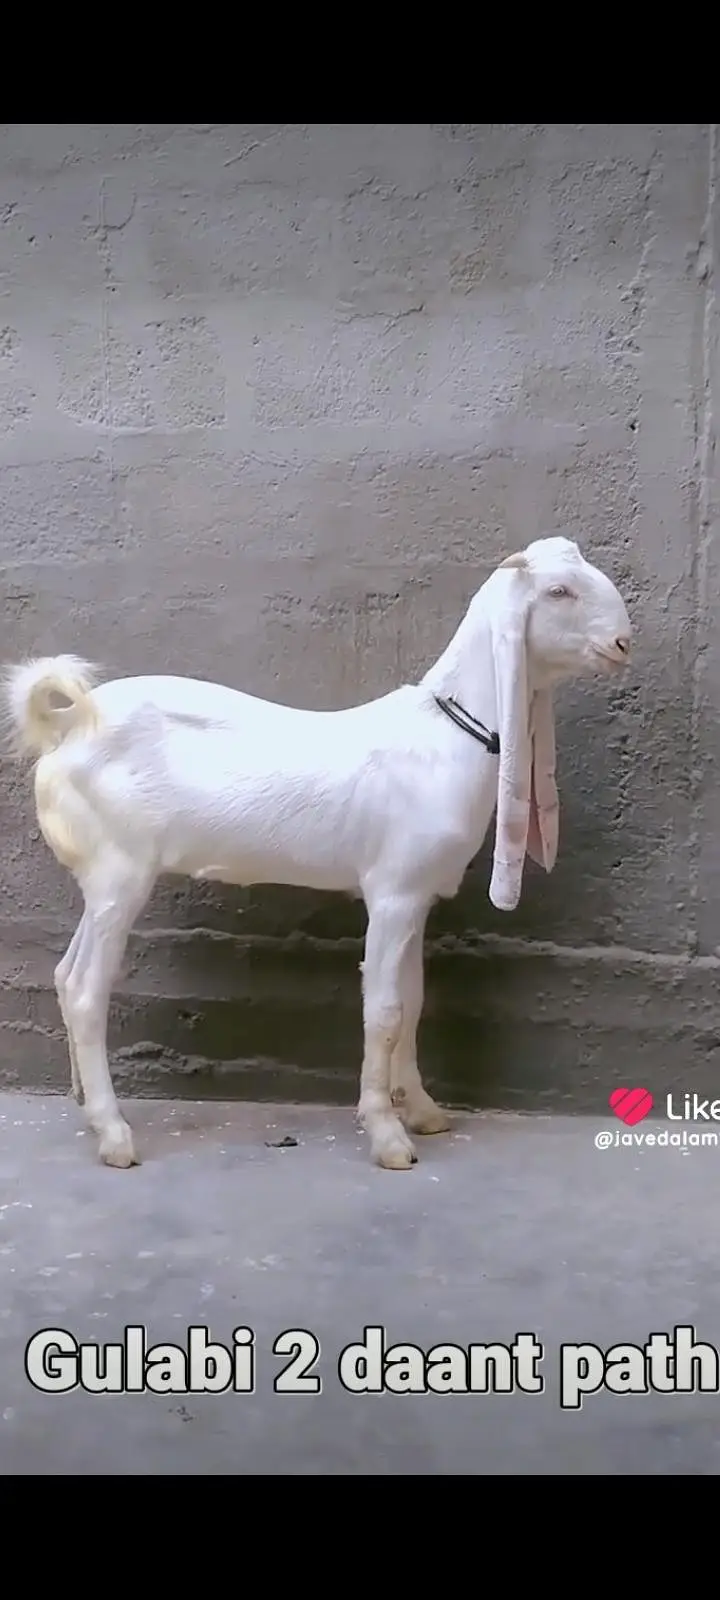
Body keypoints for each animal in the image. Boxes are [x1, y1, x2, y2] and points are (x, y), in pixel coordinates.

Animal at [2, 535, 632, 1173]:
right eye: (559, 591)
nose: (622, 644)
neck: (444, 736)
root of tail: (66, 725)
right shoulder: (391, 893)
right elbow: (383, 1010)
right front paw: (388, 1137)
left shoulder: (416, 897)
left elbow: (412, 1000)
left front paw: (423, 1111)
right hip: (122, 872)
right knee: (87, 990)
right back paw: (114, 1134)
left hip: (104, 879)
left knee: (65, 975)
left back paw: (87, 1108)